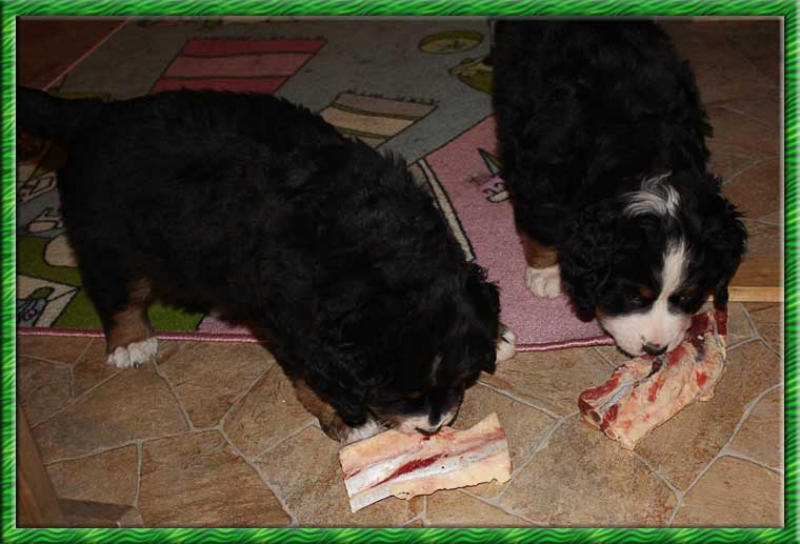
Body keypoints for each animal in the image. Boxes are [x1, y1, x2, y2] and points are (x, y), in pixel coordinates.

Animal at [17, 87, 516, 443]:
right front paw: (347, 418)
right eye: (397, 394)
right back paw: (130, 343)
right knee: (116, 289)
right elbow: (312, 374)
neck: (379, 250)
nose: (434, 425)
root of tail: (93, 115)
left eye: (461, 380)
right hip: (108, 236)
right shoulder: (289, 320)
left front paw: (499, 333)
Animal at [492, 20, 746, 357]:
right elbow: (541, 229)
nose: (655, 349)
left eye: (686, 296)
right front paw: (545, 273)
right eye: (634, 296)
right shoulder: (540, 175)